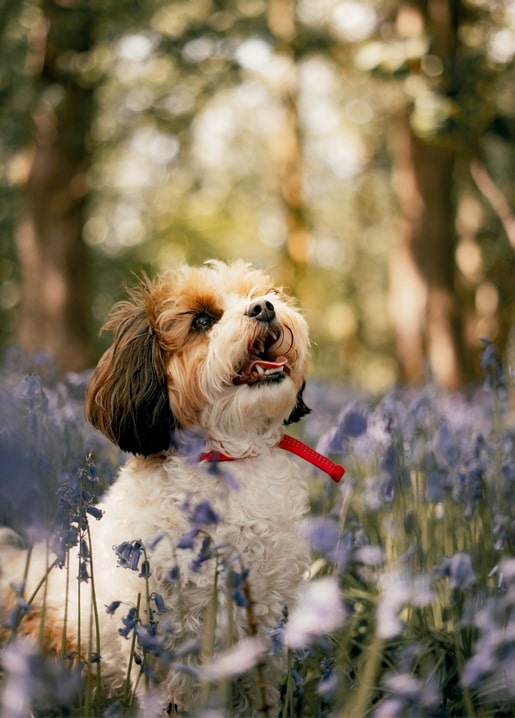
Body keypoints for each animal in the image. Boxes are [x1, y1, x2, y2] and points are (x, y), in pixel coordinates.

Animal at [2, 262, 344, 716]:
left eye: (258, 294)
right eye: (202, 321)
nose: (265, 308)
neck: (227, 459)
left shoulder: (269, 612)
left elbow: (262, 691)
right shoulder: (171, 630)